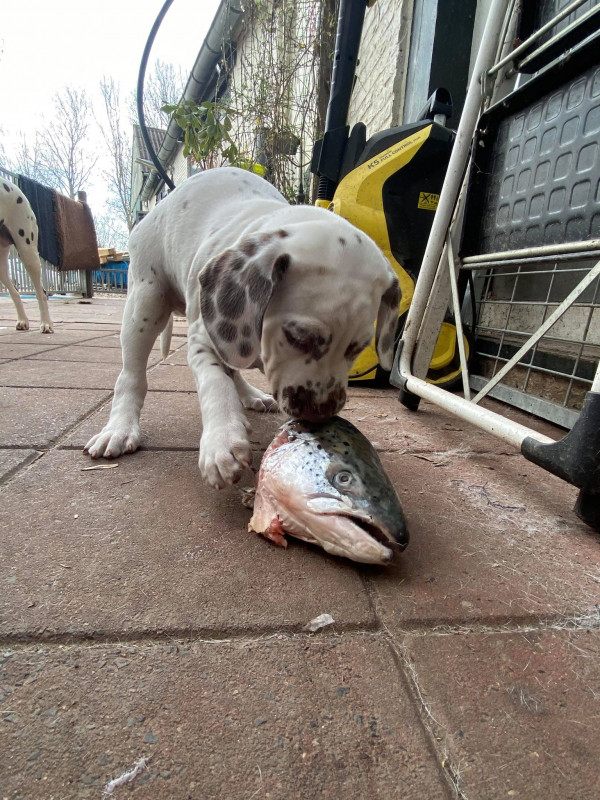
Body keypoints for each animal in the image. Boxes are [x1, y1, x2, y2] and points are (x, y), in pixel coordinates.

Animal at [84, 167, 400, 488]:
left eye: (357, 348)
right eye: (297, 336)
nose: (320, 413)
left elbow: (230, 369)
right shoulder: (204, 337)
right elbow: (215, 383)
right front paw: (222, 440)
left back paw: (252, 395)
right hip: (145, 303)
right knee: (131, 375)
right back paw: (120, 428)